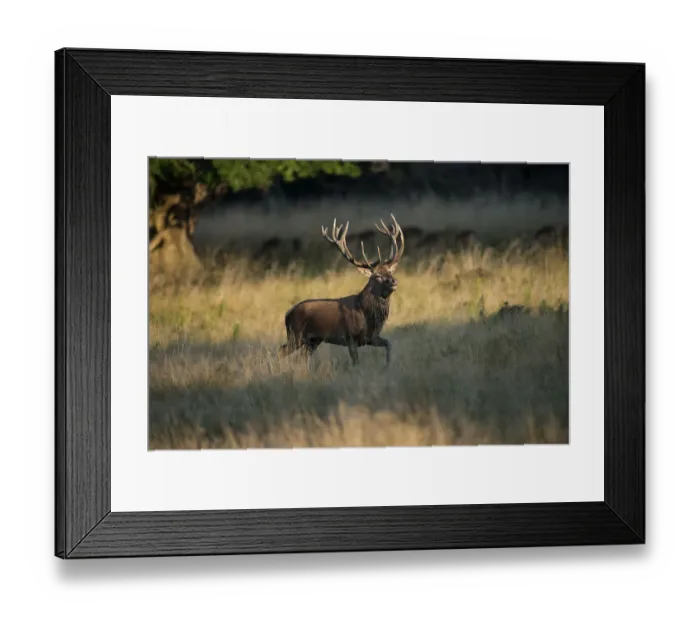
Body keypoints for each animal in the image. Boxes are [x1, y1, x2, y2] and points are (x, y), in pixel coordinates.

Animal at [279, 214, 405, 367]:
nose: (394, 281)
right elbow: (356, 361)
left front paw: (387, 366)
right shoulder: (350, 337)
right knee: (281, 351)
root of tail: (287, 313)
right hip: (295, 335)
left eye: (390, 272)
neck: (367, 314)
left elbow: (389, 344)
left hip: (313, 340)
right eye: (378, 276)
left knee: (301, 357)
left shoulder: (371, 338)